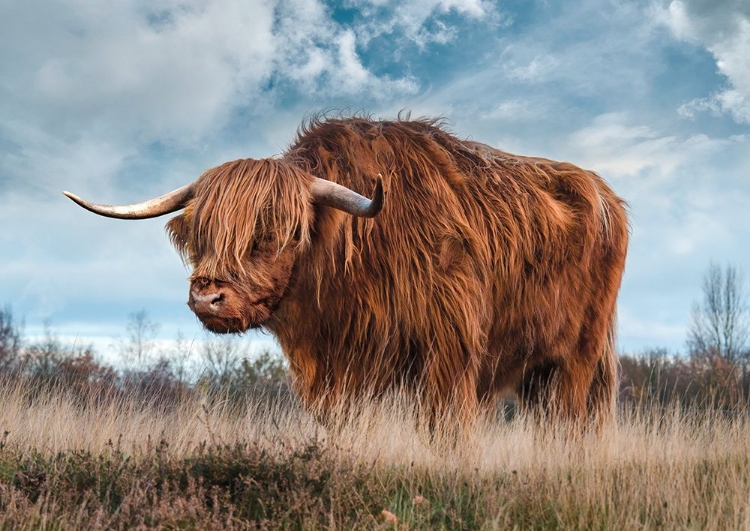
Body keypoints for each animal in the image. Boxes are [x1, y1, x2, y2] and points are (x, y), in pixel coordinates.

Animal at [64, 117, 628, 428]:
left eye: (280, 231)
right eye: (202, 234)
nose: (208, 298)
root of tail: (606, 195)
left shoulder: (450, 351)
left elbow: (445, 431)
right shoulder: (335, 366)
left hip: (579, 356)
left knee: (570, 420)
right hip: (537, 369)